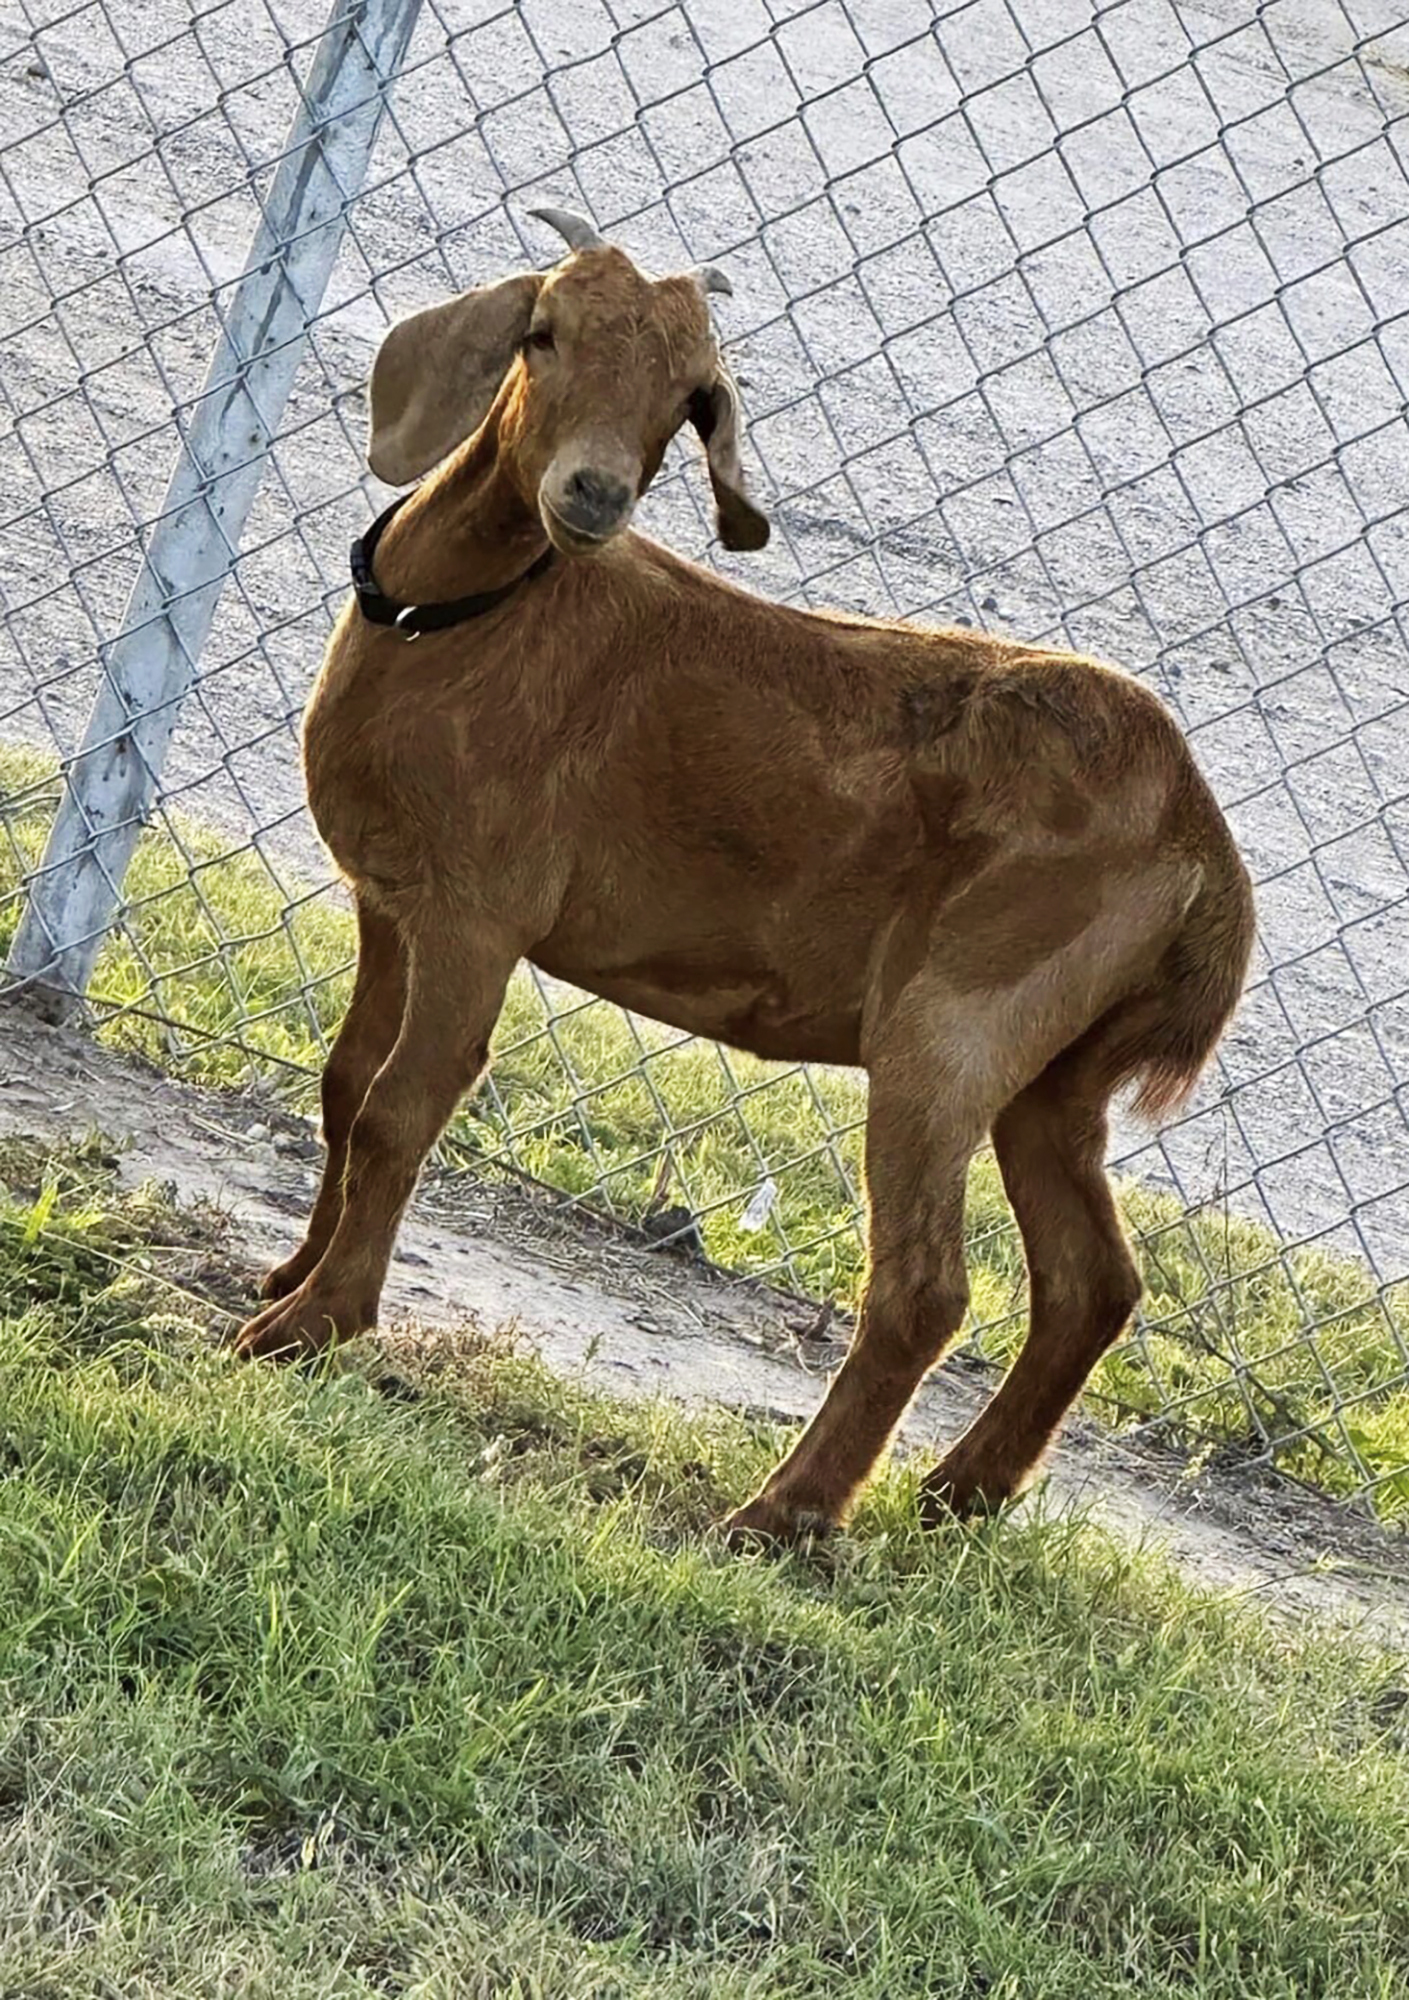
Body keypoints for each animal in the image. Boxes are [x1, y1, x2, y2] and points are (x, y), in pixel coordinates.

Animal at [236, 211, 1256, 1536]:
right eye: (542, 331)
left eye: (690, 399)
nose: (595, 494)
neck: (470, 617)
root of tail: (1200, 843)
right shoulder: (387, 901)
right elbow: (346, 1082)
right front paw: (288, 1272)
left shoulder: (476, 913)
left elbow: (403, 1106)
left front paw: (311, 1326)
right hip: (1055, 1072)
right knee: (1092, 1280)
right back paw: (956, 1494)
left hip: (953, 1021)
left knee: (924, 1285)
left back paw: (785, 1513)